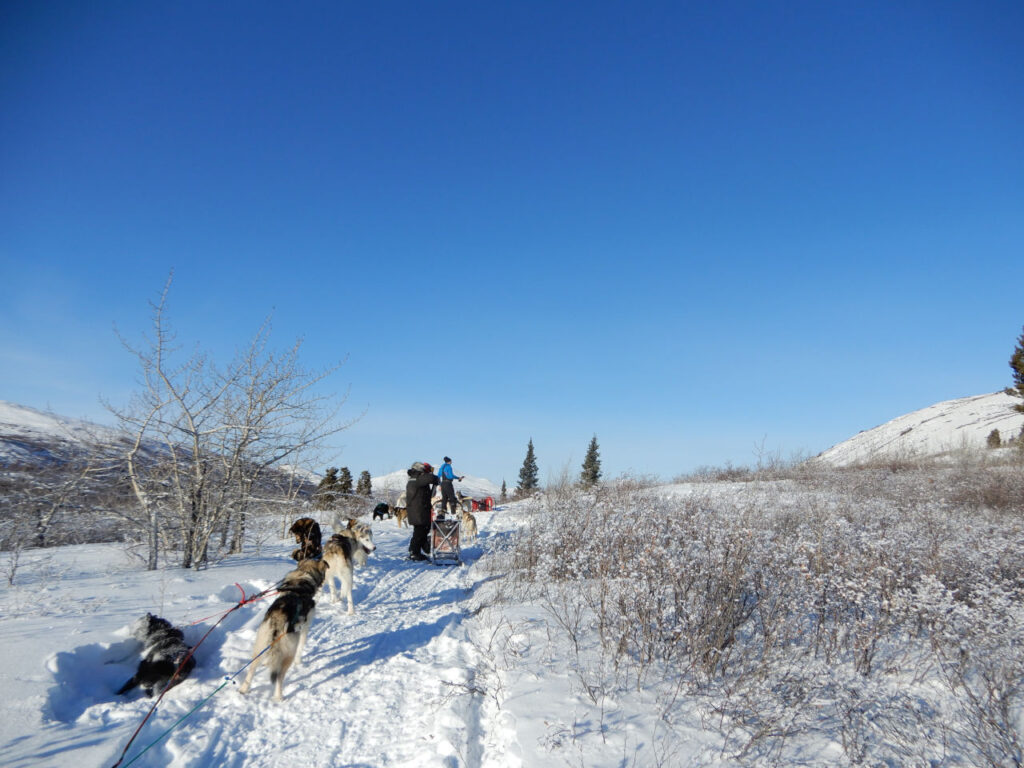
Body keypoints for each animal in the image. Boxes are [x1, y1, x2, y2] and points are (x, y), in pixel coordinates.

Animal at [236, 561, 325, 704]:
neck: (299, 580)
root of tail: (278, 617)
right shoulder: (304, 629)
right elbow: (301, 648)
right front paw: (299, 662)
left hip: (259, 646)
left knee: (251, 669)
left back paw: (244, 689)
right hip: (288, 654)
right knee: (279, 677)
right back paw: (279, 697)